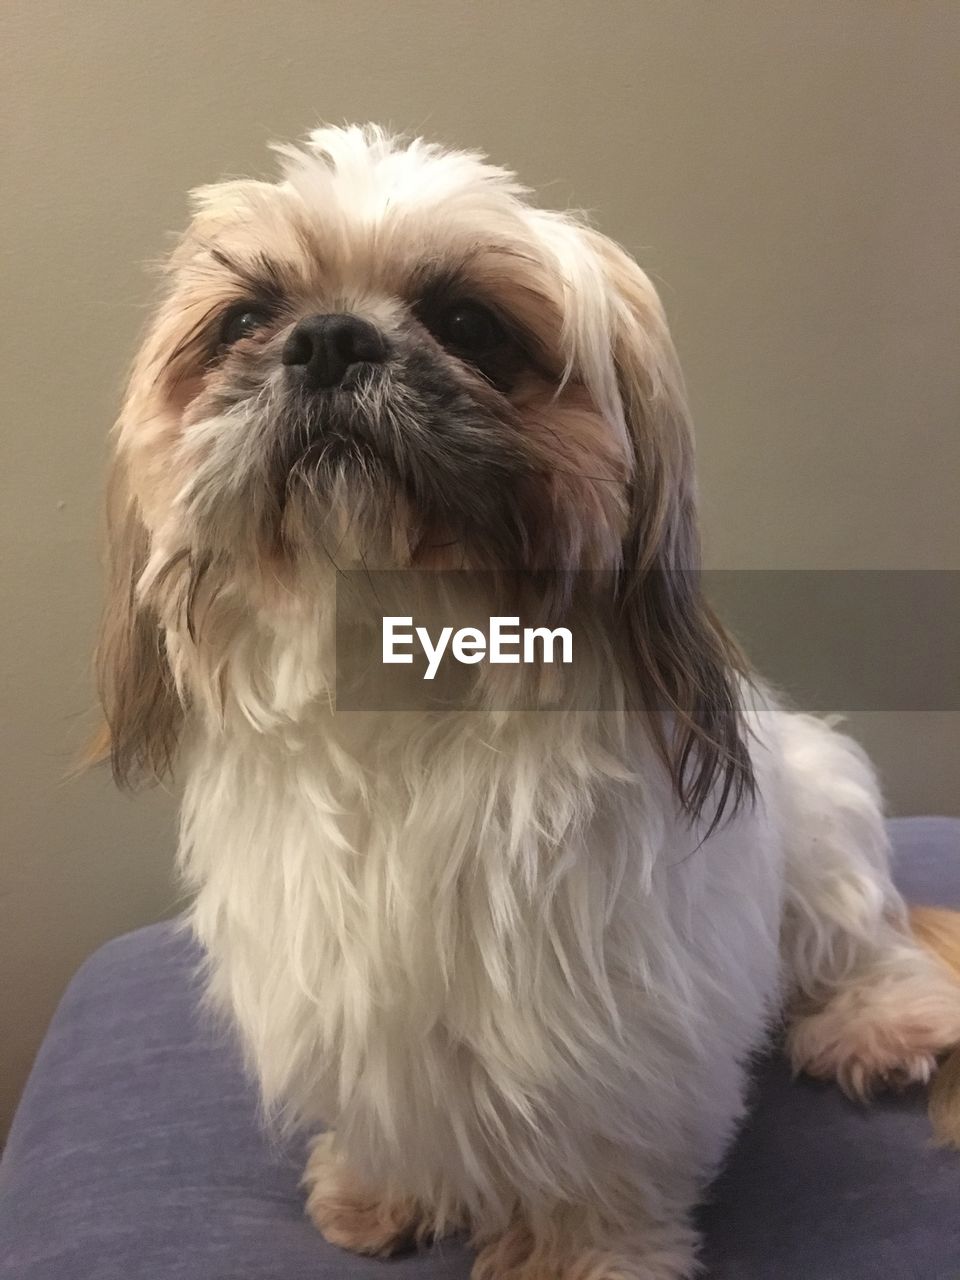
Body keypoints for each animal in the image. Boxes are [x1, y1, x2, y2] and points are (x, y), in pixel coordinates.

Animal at [92, 122, 960, 1280]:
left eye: (470, 322)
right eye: (243, 318)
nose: (328, 339)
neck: (400, 665)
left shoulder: (613, 1007)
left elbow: (599, 1148)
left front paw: (585, 1252)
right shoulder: (341, 979)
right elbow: (391, 1096)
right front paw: (386, 1186)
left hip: (823, 812)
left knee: (862, 938)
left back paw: (877, 1020)